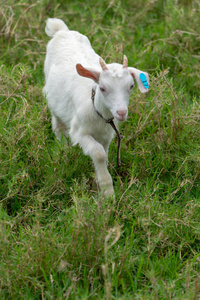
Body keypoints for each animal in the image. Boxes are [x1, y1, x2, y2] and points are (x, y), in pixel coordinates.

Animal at [44, 18, 150, 197]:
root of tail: (61, 30)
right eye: (102, 88)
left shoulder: (106, 135)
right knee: (58, 125)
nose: (121, 112)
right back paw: (62, 150)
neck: (99, 112)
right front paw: (108, 193)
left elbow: (104, 155)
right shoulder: (79, 133)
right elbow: (99, 154)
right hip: (53, 102)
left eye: (131, 86)